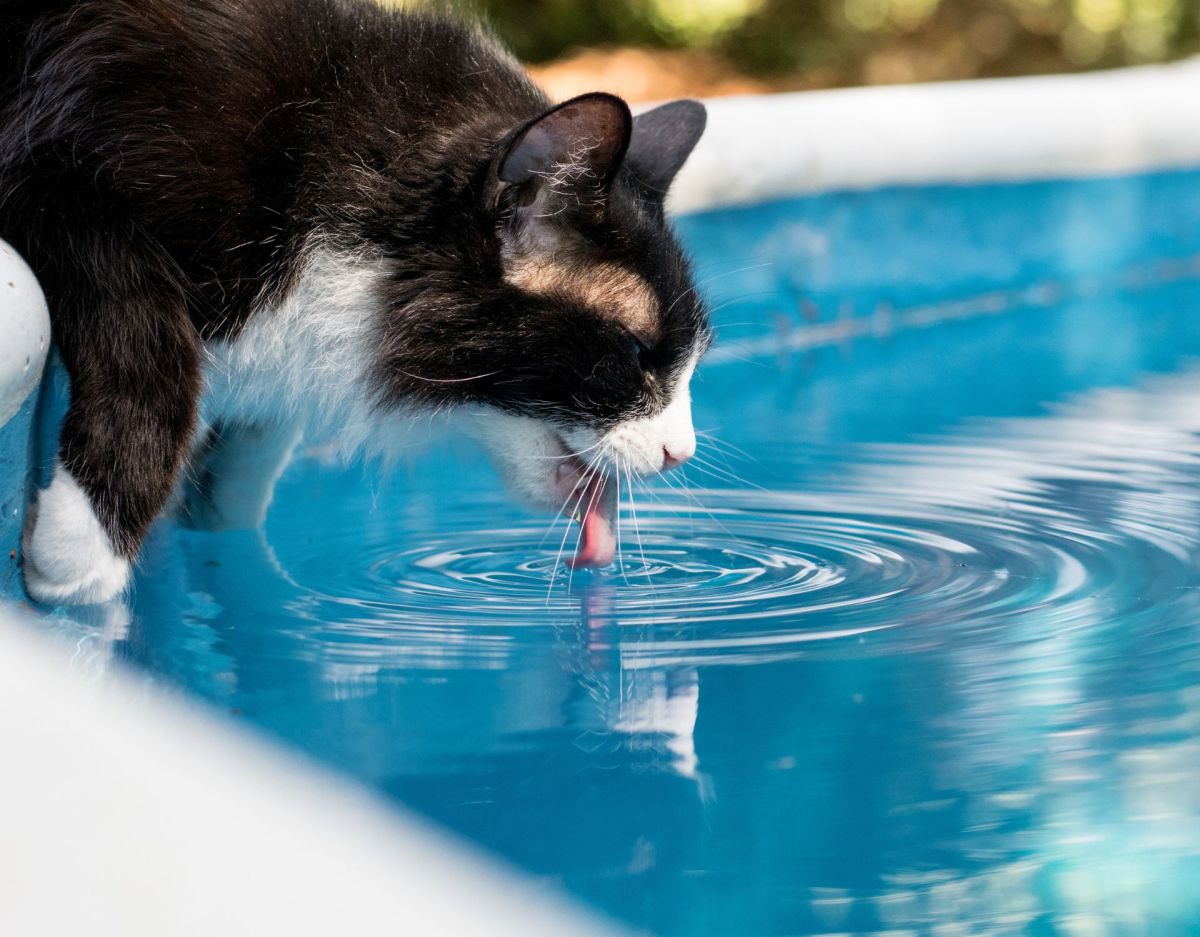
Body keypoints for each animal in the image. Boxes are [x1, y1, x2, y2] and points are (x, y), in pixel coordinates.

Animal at [0, 0, 705, 607]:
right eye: (637, 353)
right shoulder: (49, 172)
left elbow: (253, 455)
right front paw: (82, 547)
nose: (683, 452)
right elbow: (146, 338)